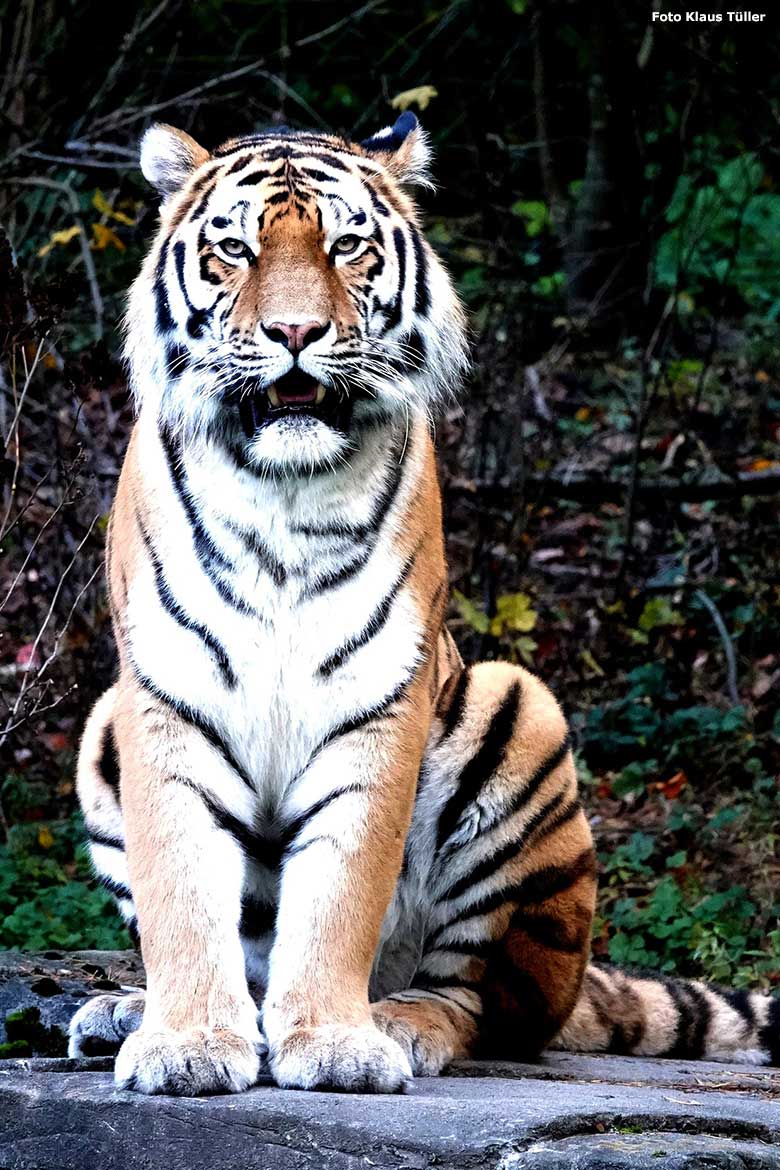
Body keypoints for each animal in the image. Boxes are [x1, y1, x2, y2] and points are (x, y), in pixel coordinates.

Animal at [68, 114, 780, 1090]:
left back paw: (397, 1020)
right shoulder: (162, 696)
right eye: (235, 249)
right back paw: (126, 1009)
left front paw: (332, 1042)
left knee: (483, 1003)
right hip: (100, 726)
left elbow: (341, 888)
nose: (295, 329)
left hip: (519, 711)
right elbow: (180, 885)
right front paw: (187, 1042)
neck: (282, 488)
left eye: (346, 246)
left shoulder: (378, 698)